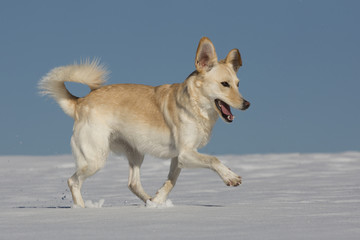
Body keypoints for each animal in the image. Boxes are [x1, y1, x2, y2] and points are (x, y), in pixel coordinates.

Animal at [38, 36, 249, 207]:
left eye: (238, 84)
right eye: (224, 84)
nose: (247, 104)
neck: (195, 105)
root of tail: (80, 102)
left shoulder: (178, 157)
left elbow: (171, 181)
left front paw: (158, 201)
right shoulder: (185, 153)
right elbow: (213, 159)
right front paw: (230, 177)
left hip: (135, 153)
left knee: (133, 183)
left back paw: (148, 201)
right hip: (95, 159)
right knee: (73, 181)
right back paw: (81, 209)